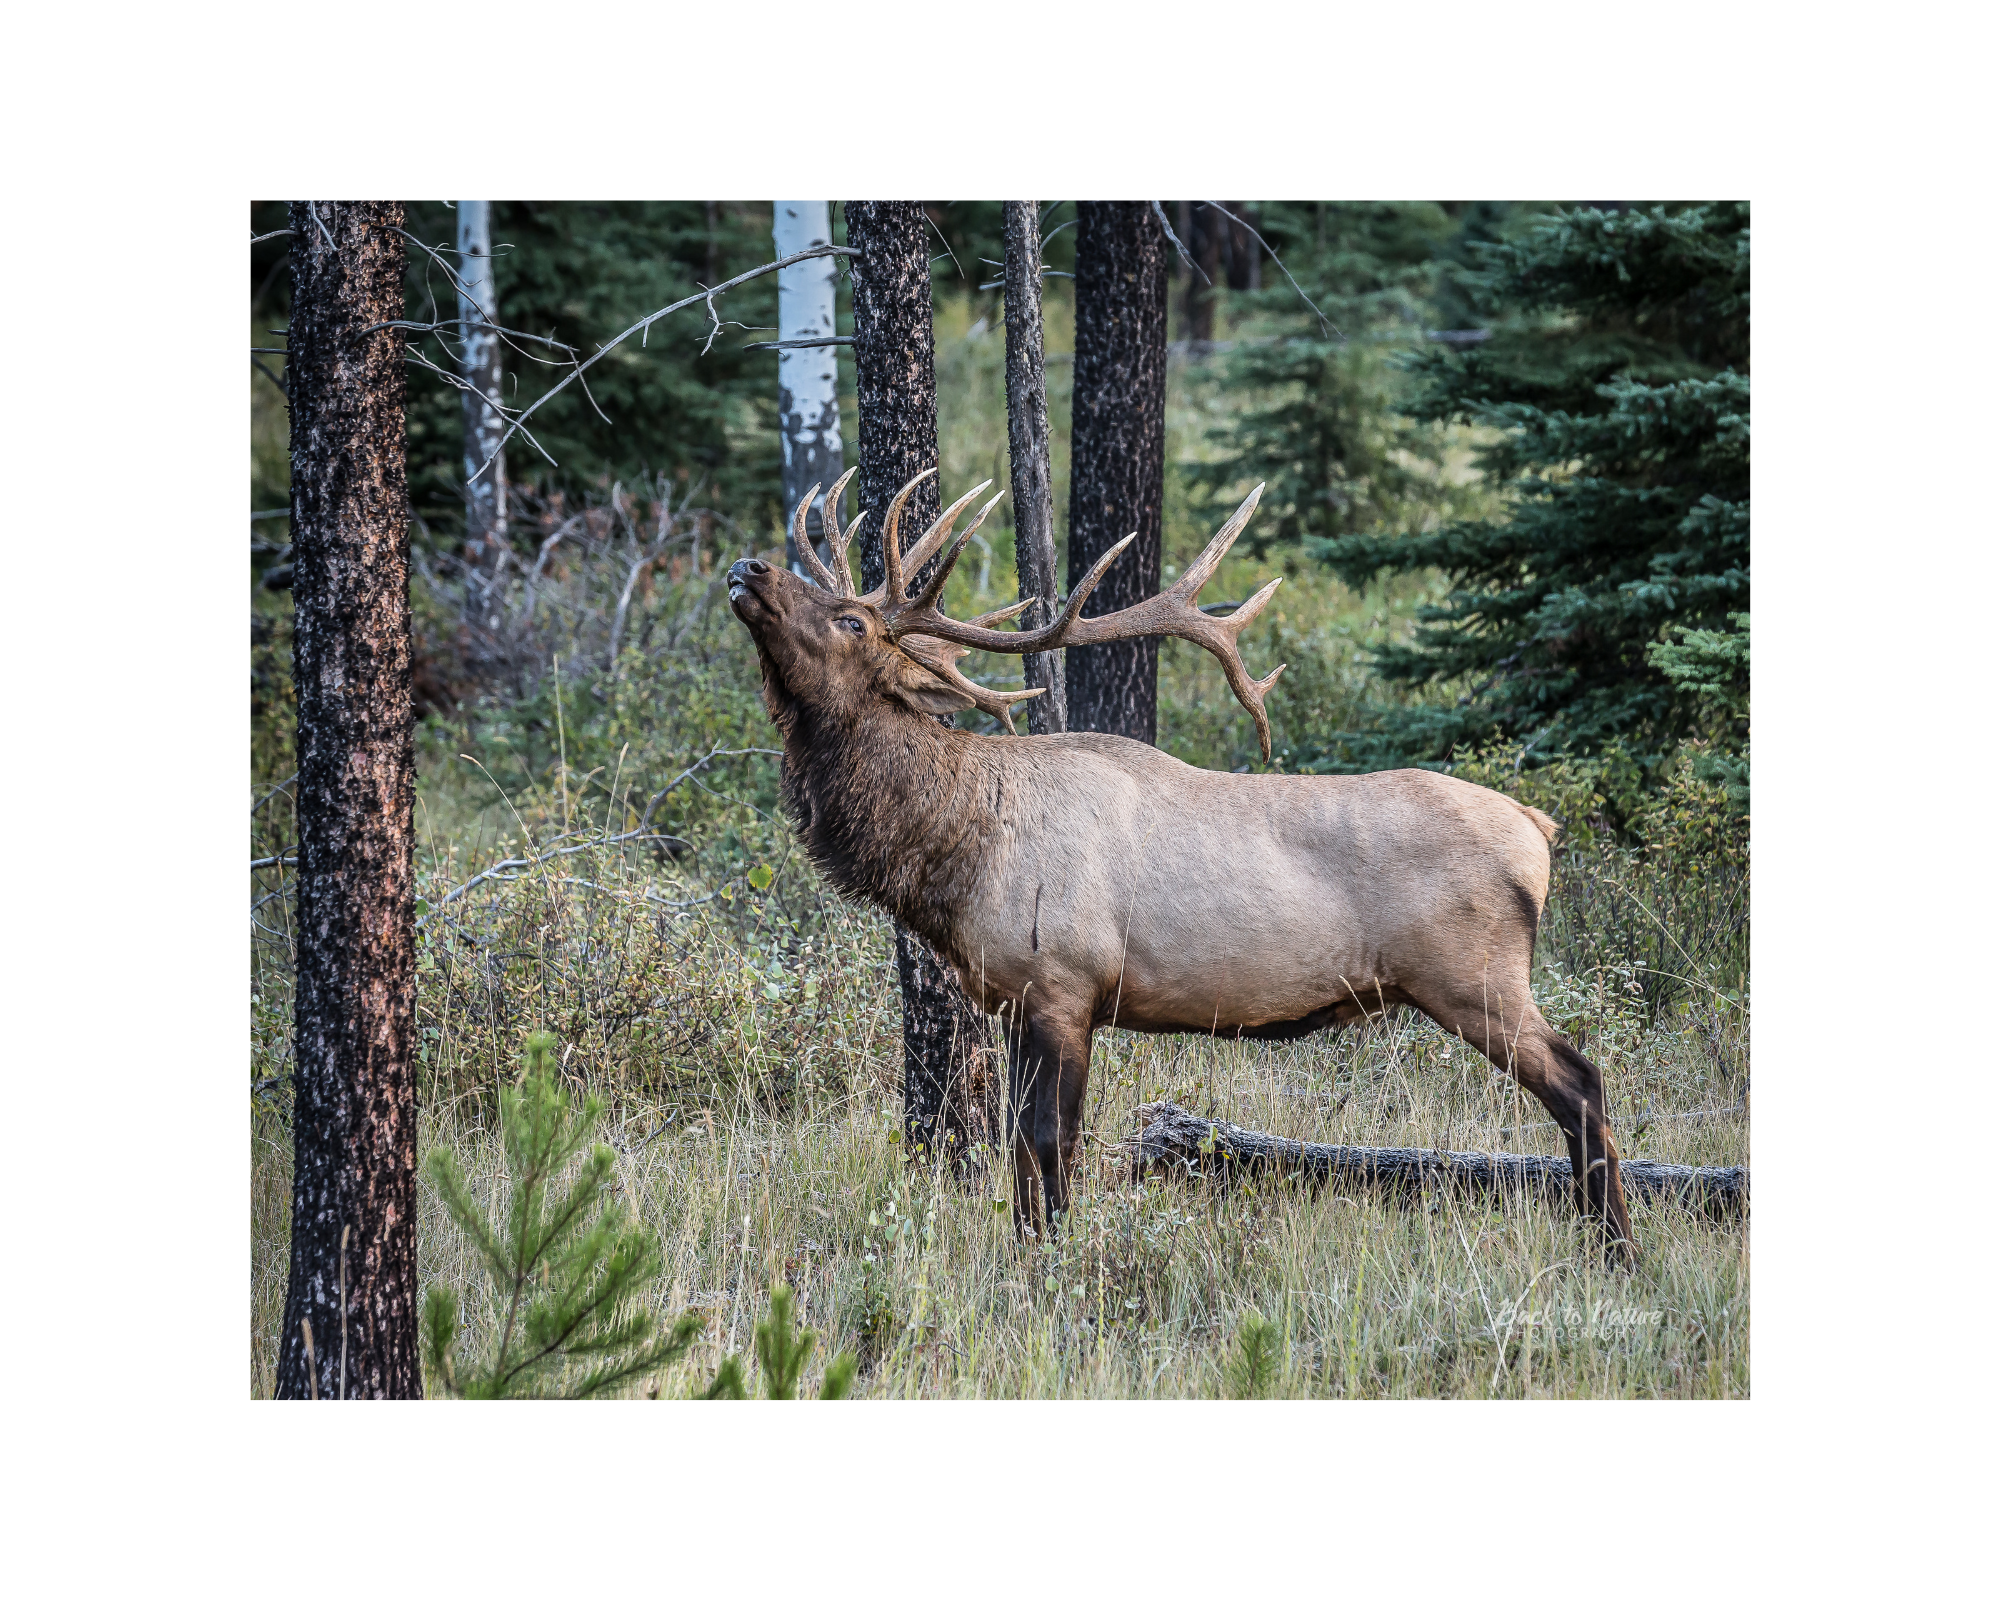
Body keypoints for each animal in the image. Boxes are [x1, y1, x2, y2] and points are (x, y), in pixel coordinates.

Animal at [728, 468, 1632, 1256]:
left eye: (854, 622)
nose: (748, 567)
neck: (957, 849)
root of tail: (1539, 828)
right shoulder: (1019, 1001)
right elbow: (1019, 1151)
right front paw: (1024, 1252)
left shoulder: (1065, 985)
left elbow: (1054, 1145)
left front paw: (1057, 1261)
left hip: (1472, 976)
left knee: (1582, 1083)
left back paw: (1615, 1251)